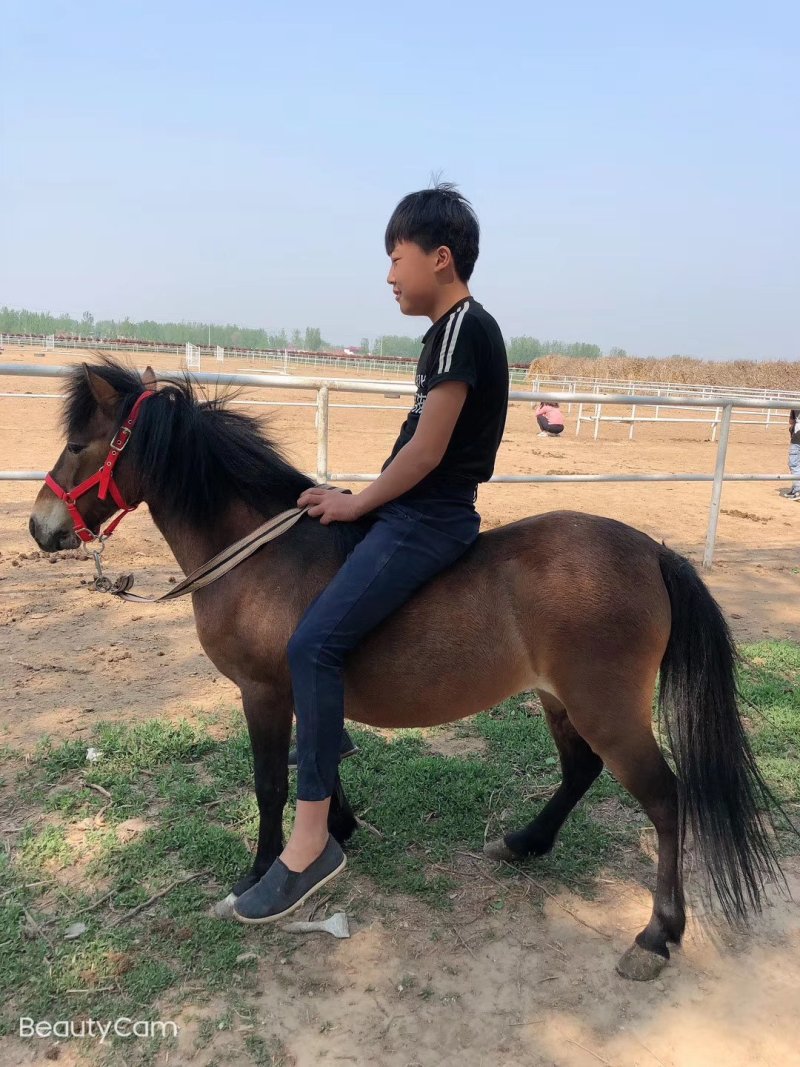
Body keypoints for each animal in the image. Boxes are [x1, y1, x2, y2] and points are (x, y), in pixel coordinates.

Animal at [28, 359, 783, 982]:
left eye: (79, 444)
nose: (41, 527)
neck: (261, 554)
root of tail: (653, 551)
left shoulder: (265, 692)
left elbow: (272, 783)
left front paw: (264, 874)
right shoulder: (306, 688)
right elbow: (320, 762)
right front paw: (335, 833)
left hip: (607, 707)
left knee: (665, 800)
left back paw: (657, 934)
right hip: (560, 699)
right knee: (580, 770)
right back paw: (526, 842)